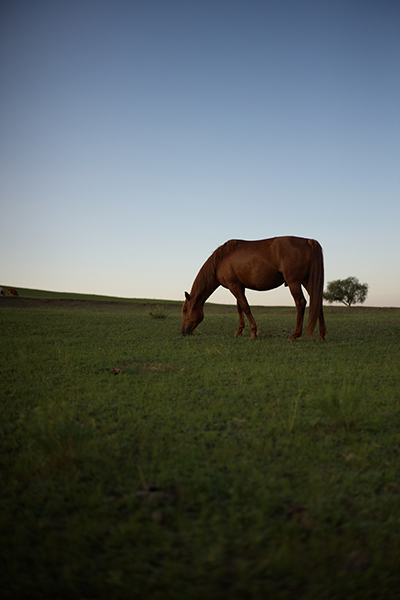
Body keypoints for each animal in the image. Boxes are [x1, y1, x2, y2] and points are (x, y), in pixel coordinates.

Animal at [183, 238, 326, 342]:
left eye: (184, 310)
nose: (183, 331)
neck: (221, 260)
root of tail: (308, 241)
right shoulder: (239, 286)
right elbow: (240, 308)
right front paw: (239, 331)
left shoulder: (234, 286)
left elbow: (246, 307)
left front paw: (253, 333)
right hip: (306, 281)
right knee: (317, 301)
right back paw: (321, 335)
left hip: (294, 283)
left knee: (300, 303)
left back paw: (294, 335)